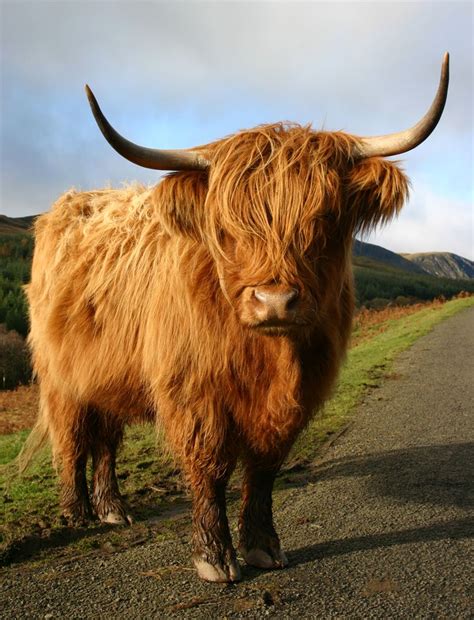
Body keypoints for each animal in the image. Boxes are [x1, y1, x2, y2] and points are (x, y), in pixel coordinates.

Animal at [22, 53, 450, 580]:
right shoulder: (194, 391)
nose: (275, 301)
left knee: (105, 439)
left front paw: (263, 545)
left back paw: (112, 509)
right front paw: (213, 556)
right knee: (71, 438)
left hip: (107, 372)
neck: (270, 359)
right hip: (61, 376)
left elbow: (264, 468)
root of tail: (69, 204)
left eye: (326, 218)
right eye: (226, 226)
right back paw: (78, 512)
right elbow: (210, 466)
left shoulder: (295, 397)